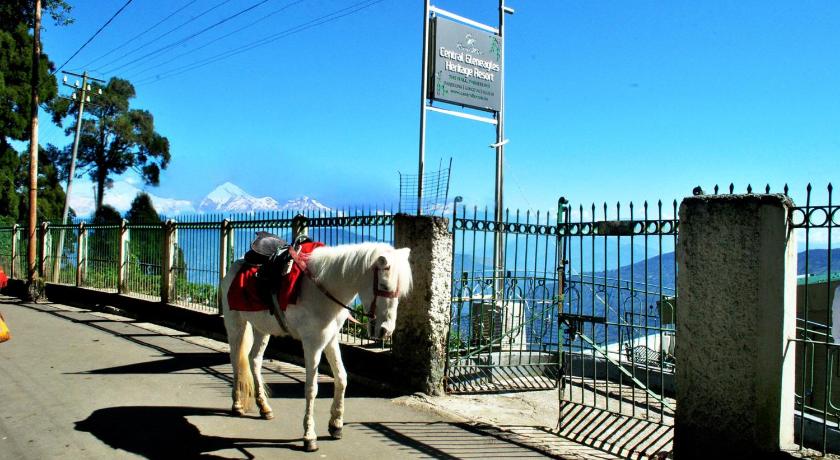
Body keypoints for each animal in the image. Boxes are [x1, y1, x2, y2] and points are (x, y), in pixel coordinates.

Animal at [220, 243, 410, 452]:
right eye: (384, 286)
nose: (386, 331)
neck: (323, 289)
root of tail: (236, 264)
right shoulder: (313, 343)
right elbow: (312, 389)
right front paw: (309, 436)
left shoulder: (331, 339)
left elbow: (342, 378)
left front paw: (336, 425)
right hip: (235, 323)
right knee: (235, 359)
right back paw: (237, 404)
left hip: (262, 328)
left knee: (254, 360)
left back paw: (264, 407)